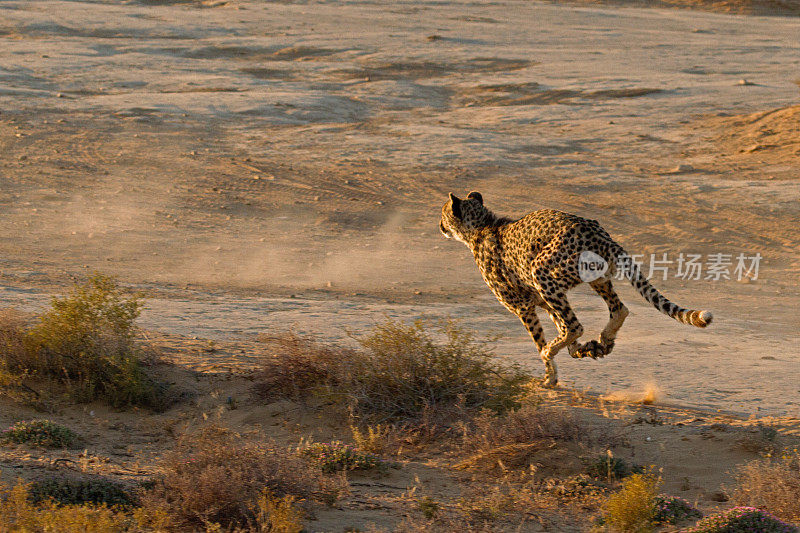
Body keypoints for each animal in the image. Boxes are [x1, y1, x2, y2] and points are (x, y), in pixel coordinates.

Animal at [438, 191, 712, 386]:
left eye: (442, 214)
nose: (439, 226)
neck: (481, 226)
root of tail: (598, 232)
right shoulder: (543, 301)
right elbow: (561, 329)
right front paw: (581, 351)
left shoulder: (523, 306)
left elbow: (542, 337)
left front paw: (550, 375)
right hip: (593, 277)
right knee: (618, 309)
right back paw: (604, 341)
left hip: (542, 271)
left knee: (575, 325)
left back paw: (553, 350)